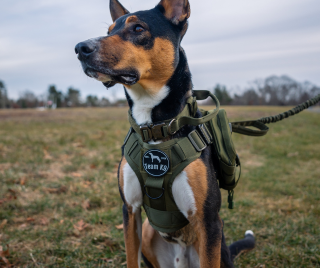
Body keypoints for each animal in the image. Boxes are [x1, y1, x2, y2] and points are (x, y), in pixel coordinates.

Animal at [75, 1, 255, 266]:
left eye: (138, 28)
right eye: (108, 31)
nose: (80, 48)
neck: (154, 127)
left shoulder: (208, 221)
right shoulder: (130, 210)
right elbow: (131, 258)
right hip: (149, 230)